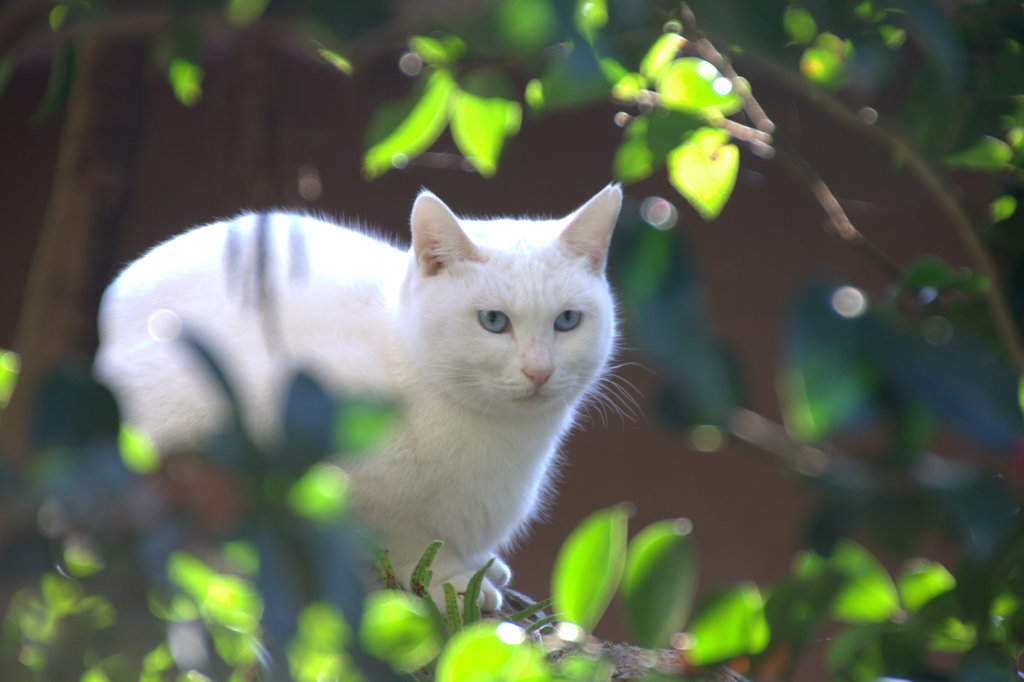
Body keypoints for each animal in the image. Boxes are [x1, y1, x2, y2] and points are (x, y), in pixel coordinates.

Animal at [96, 183, 622, 606]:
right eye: (493, 321)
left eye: (567, 321)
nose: (540, 370)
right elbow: (405, 539)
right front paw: (448, 581)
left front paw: (479, 569)